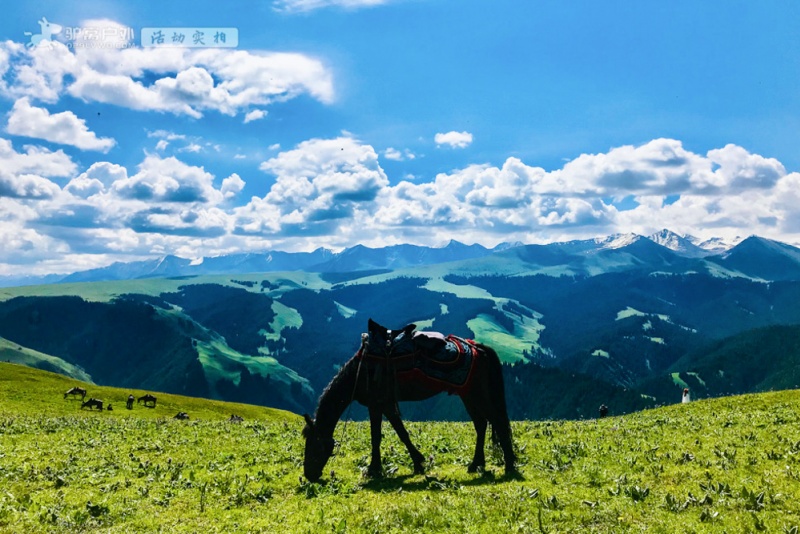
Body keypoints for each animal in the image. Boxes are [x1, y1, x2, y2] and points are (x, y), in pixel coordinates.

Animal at [302, 320, 520, 484]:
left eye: (313, 445)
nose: (309, 475)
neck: (360, 371)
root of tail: (477, 348)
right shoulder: (386, 404)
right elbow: (401, 432)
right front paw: (418, 462)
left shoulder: (376, 404)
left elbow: (377, 436)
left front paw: (374, 469)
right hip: (467, 395)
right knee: (481, 424)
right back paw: (476, 464)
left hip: (477, 394)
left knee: (497, 422)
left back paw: (509, 465)